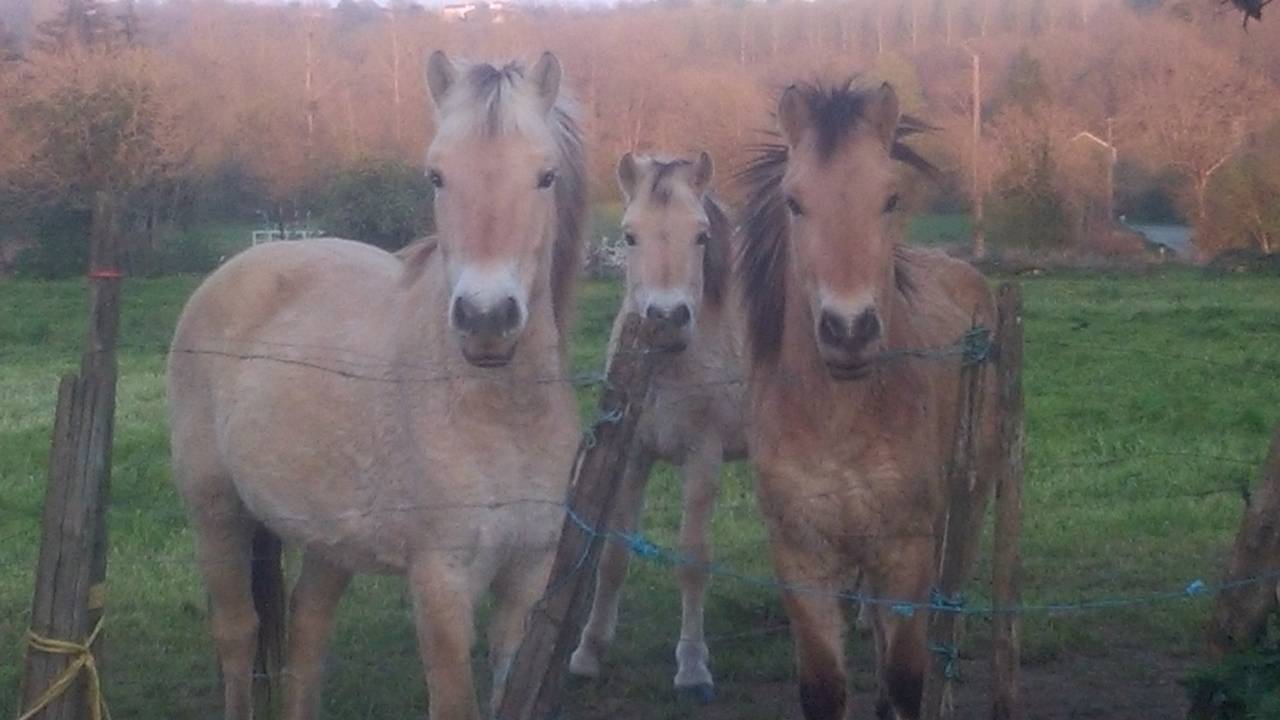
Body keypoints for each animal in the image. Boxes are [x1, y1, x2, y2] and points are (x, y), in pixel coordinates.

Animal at [167, 51, 586, 720]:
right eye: (436, 176)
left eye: (546, 176)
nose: (486, 319)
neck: (501, 418)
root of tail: (238, 269)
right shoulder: (440, 583)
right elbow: (455, 702)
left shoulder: (528, 582)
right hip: (216, 514)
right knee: (238, 635)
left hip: (327, 538)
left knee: (307, 632)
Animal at [567, 152, 747, 700]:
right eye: (630, 235)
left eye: (701, 235)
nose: (666, 318)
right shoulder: (632, 456)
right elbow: (613, 557)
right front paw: (588, 650)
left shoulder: (704, 460)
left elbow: (692, 560)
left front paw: (691, 666)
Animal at [735, 80, 998, 720]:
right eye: (794, 202)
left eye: (890, 199)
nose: (849, 329)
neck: (838, 422)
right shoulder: (801, 560)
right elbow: (826, 687)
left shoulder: (905, 552)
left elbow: (904, 681)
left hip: (968, 504)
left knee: (948, 619)